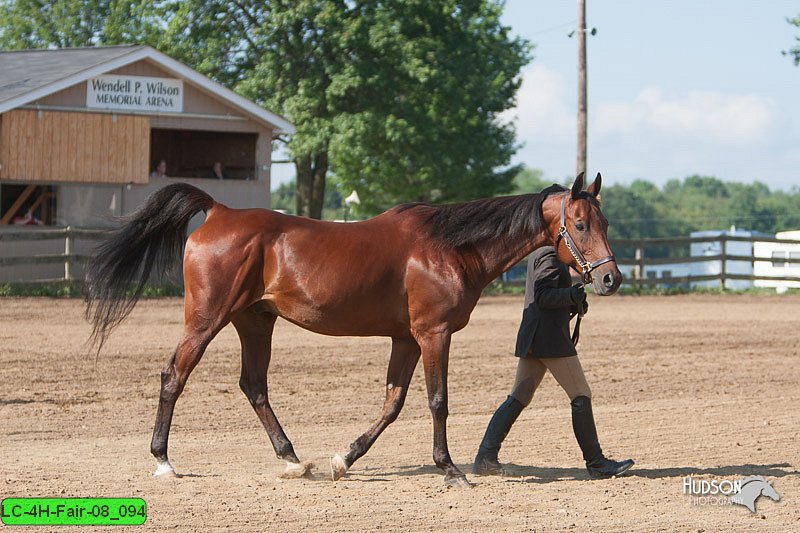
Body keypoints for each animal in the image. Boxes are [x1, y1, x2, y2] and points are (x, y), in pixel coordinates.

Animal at [84, 171, 620, 486]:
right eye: (579, 223)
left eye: (606, 221)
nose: (610, 278)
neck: (448, 247)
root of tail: (219, 211)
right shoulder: (433, 334)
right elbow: (436, 401)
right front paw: (450, 471)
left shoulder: (405, 338)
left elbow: (393, 404)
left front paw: (346, 458)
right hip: (206, 319)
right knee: (174, 376)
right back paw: (163, 461)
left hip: (254, 322)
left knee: (253, 385)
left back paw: (293, 460)